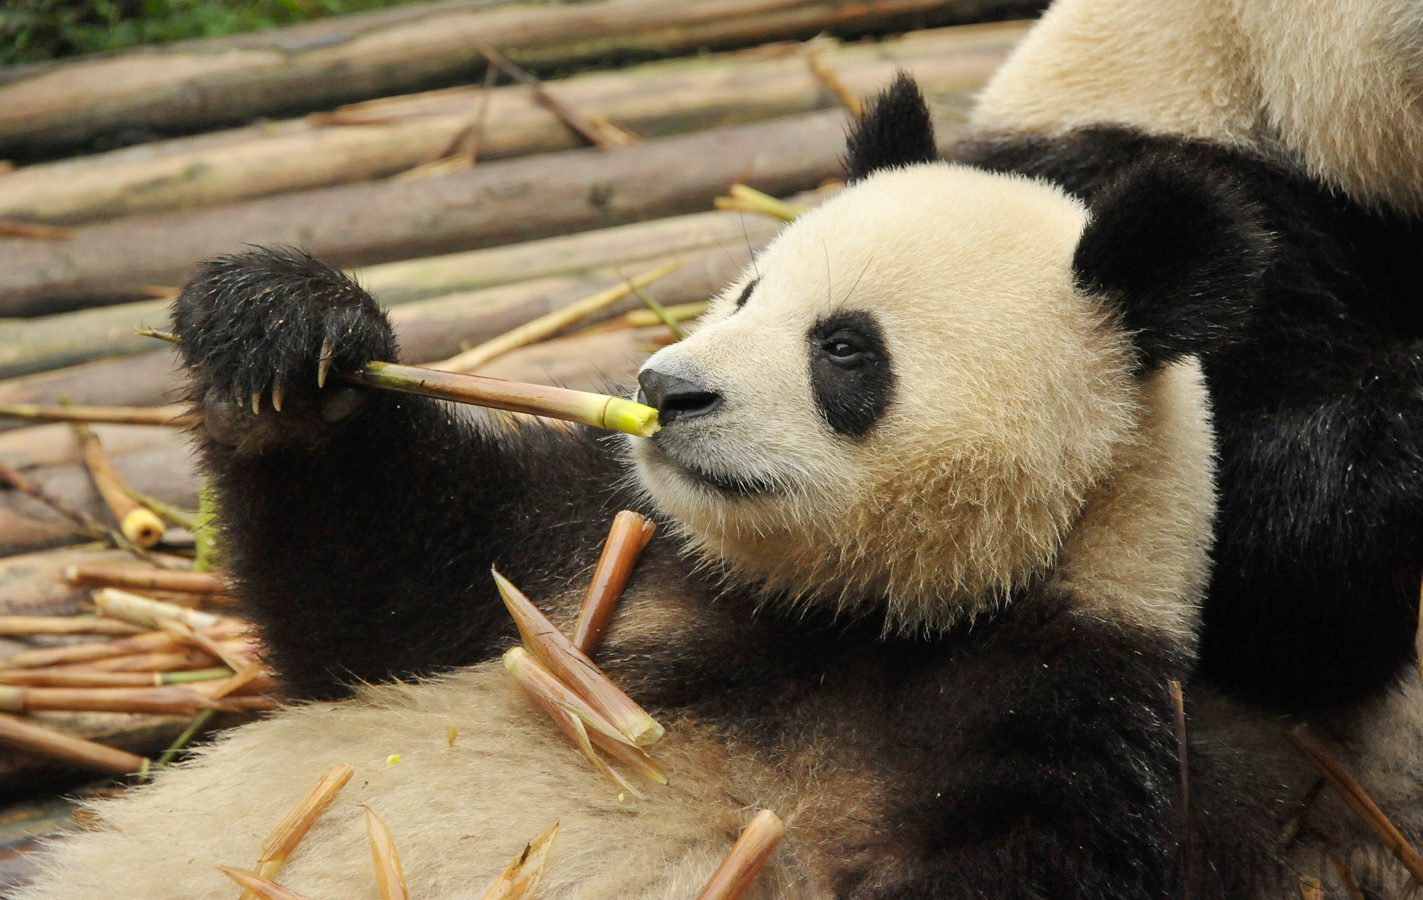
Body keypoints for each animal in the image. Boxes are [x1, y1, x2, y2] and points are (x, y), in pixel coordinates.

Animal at [22, 101, 1326, 894]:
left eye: (842, 349)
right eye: (746, 291)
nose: (665, 388)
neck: (855, 619)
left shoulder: (1053, 715)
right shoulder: (607, 557)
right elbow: (375, 591)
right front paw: (283, 334)